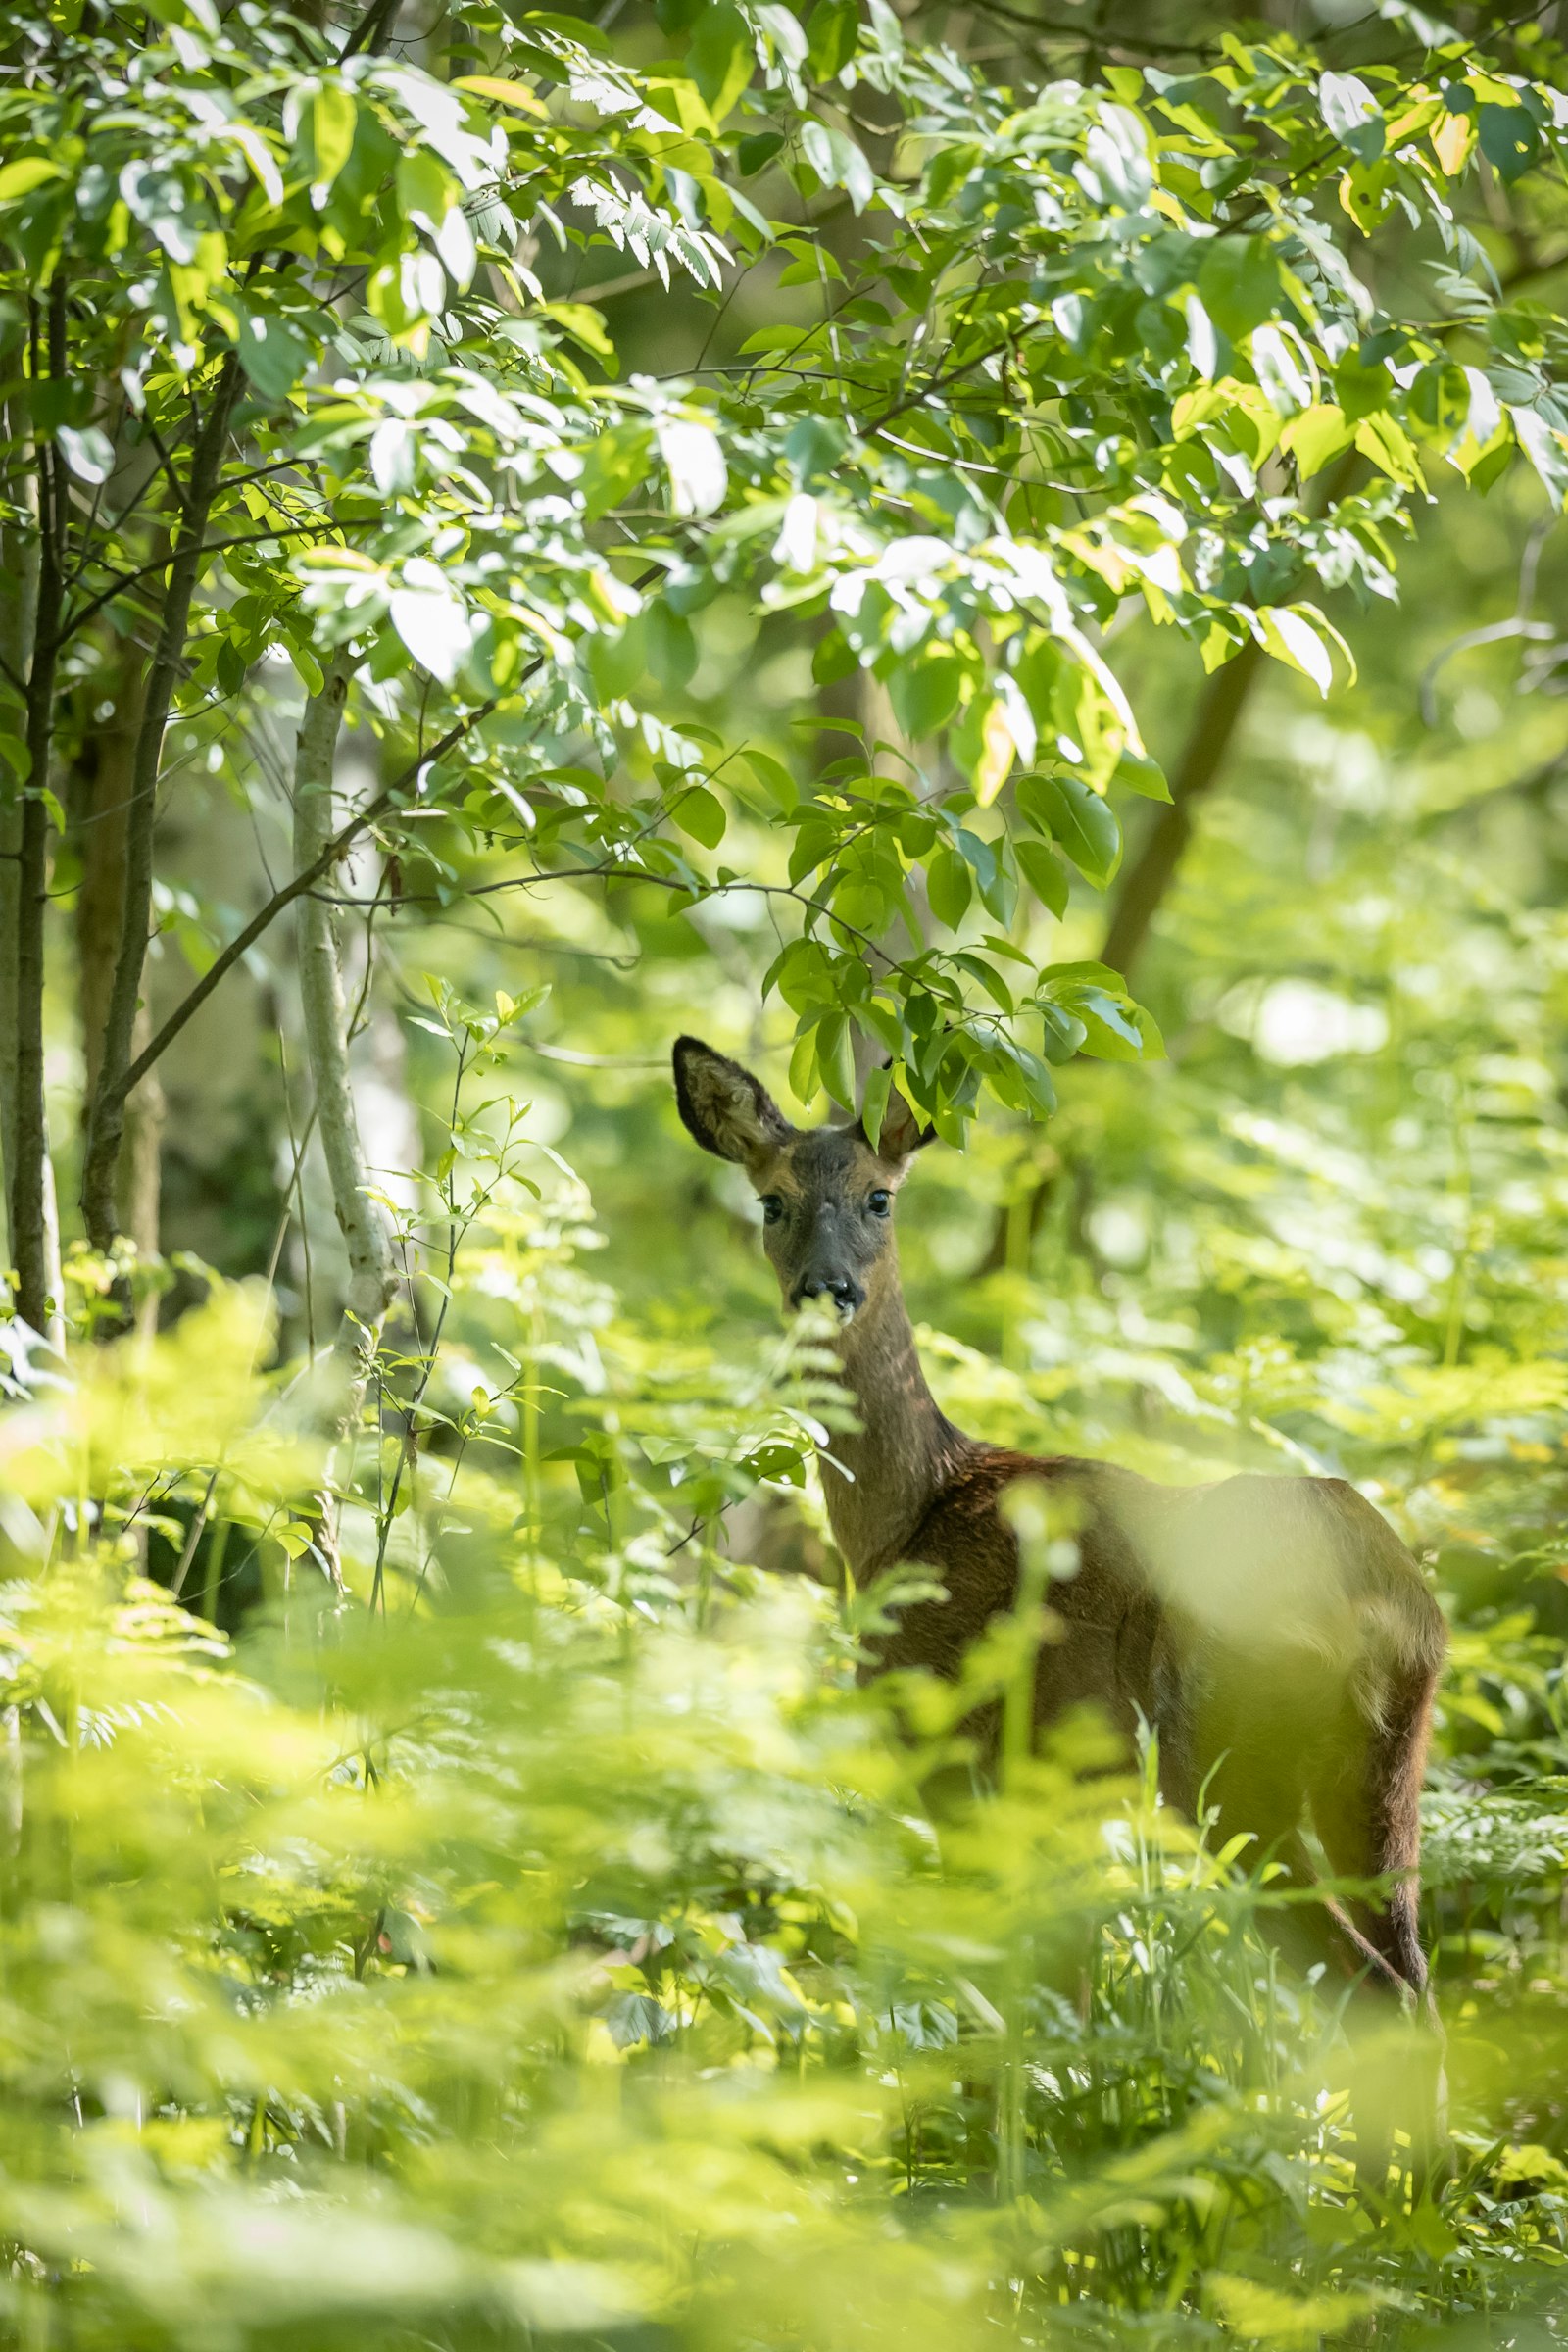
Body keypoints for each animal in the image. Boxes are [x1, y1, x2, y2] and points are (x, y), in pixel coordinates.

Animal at [667, 1039, 1457, 2173]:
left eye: (879, 1197)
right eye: (771, 1201)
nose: (828, 1289)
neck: (904, 1520)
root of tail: (1396, 1598)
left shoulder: (960, 1755)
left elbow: (1004, 1996)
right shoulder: (1065, 1796)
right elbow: (1067, 1996)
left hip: (1231, 1763)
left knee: (1371, 1997)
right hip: (1384, 1780)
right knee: (1422, 1994)